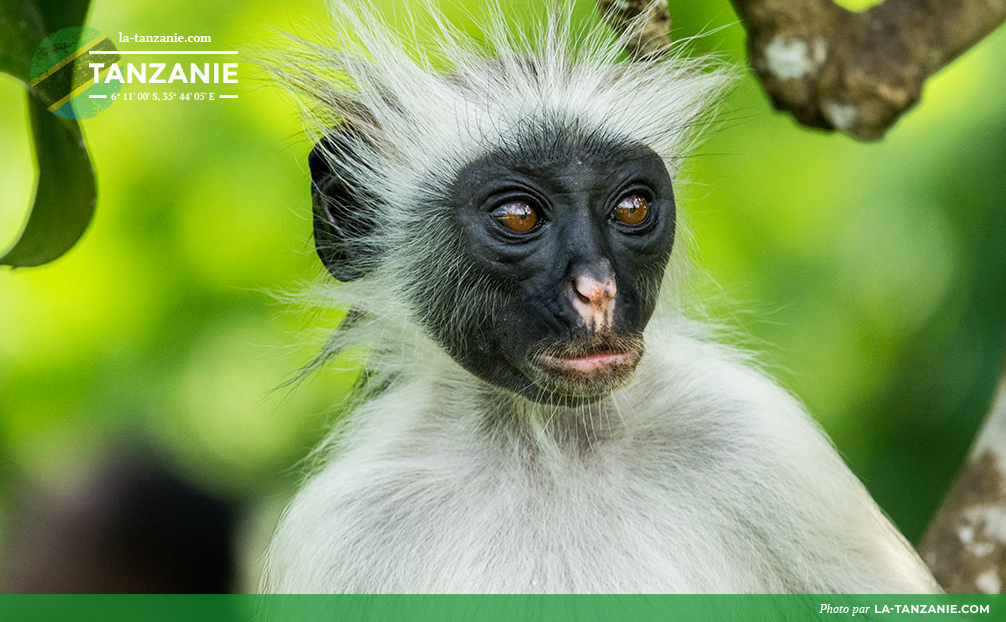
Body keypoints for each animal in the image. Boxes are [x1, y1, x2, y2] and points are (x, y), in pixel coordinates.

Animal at [261, 1, 941, 591]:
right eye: (518, 216)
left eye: (632, 207)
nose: (597, 290)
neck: (548, 449)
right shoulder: (343, 527)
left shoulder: (761, 436)